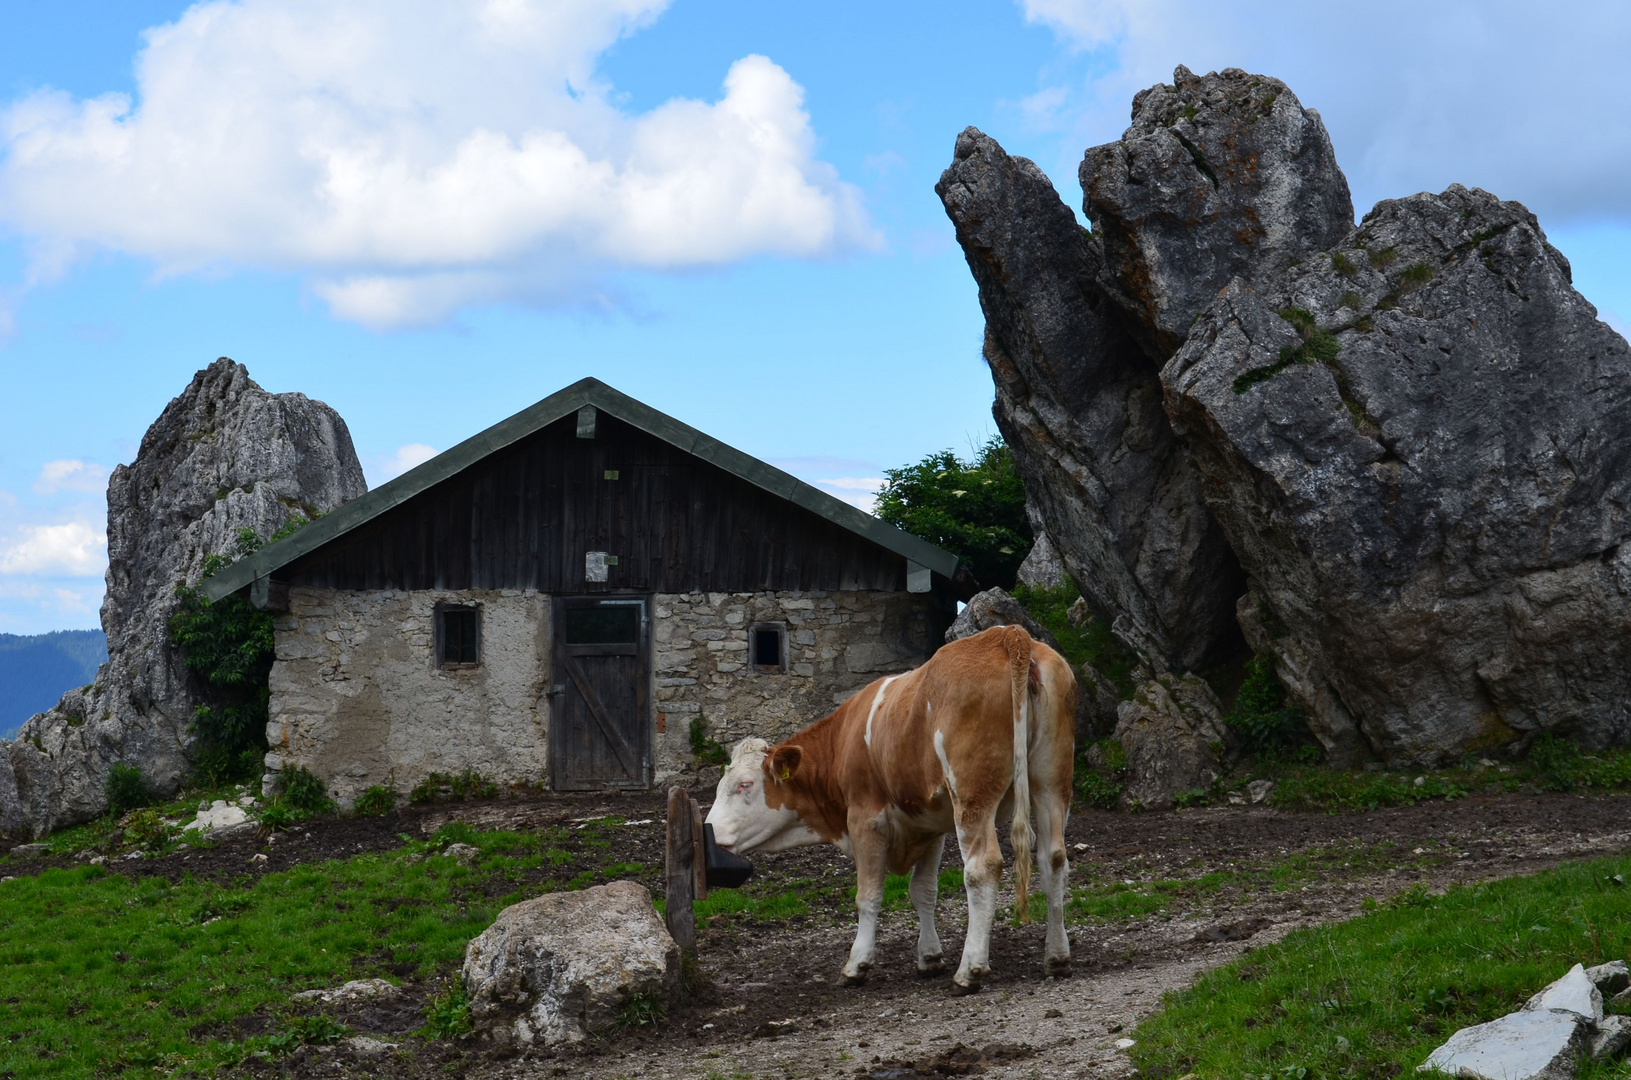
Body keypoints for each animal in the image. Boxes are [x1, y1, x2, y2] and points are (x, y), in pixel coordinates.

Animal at [701, 626, 1069, 998]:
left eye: (744, 785)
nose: (709, 830)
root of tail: (1008, 634)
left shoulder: (865, 819)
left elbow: (868, 896)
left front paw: (857, 965)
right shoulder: (930, 823)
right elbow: (923, 891)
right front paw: (930, 957)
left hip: (972, 796)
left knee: (982, 868)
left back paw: (970, 971)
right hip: (1051, 784)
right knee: (1052, 858)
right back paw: (1057, 958)